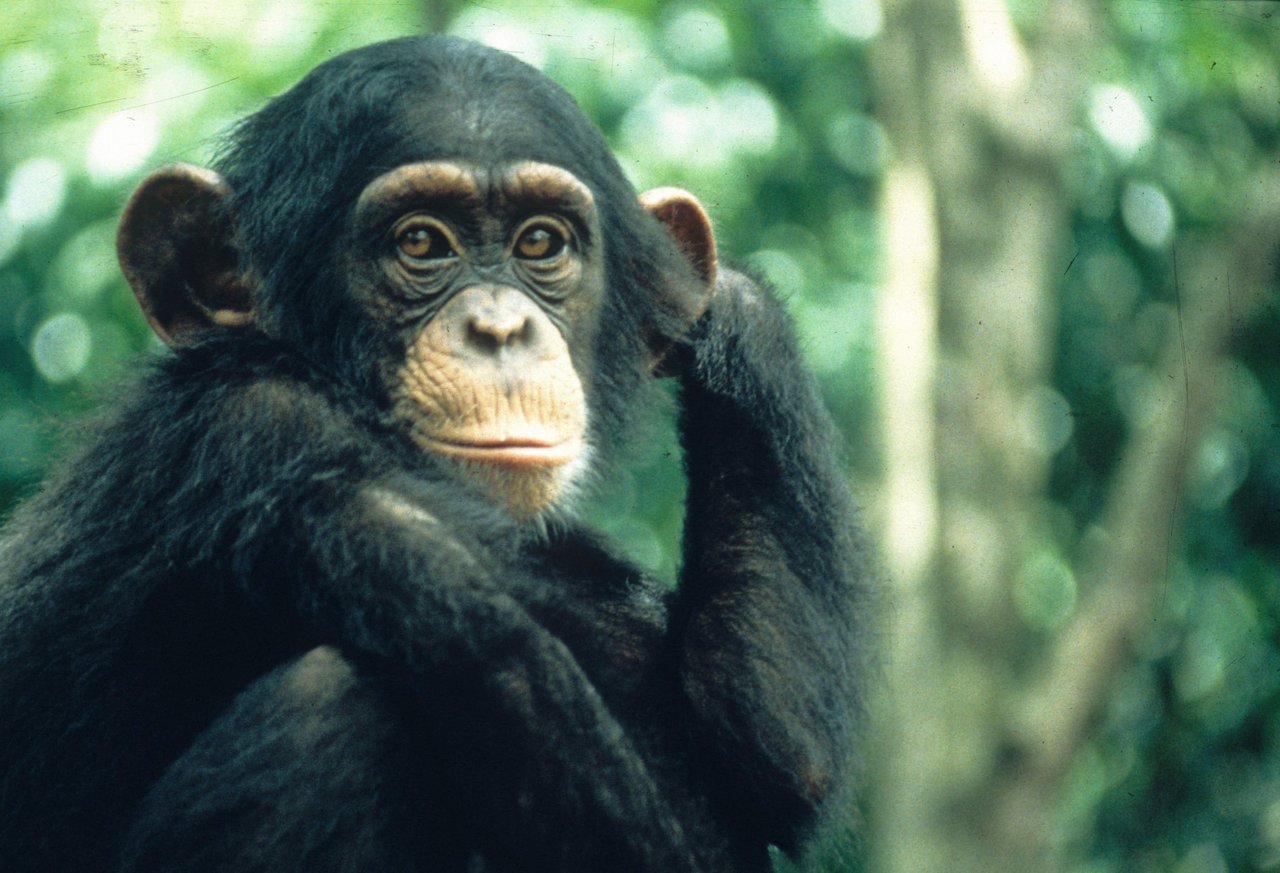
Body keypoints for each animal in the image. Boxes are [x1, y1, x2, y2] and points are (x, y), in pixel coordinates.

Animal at [0, 35, 870, 870]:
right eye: (420, 241)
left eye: (541, 242)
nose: (500, 327)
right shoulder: (265, 433)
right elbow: (542, 688)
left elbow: (771, 754)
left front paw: (715, 296)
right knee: (332, 702)